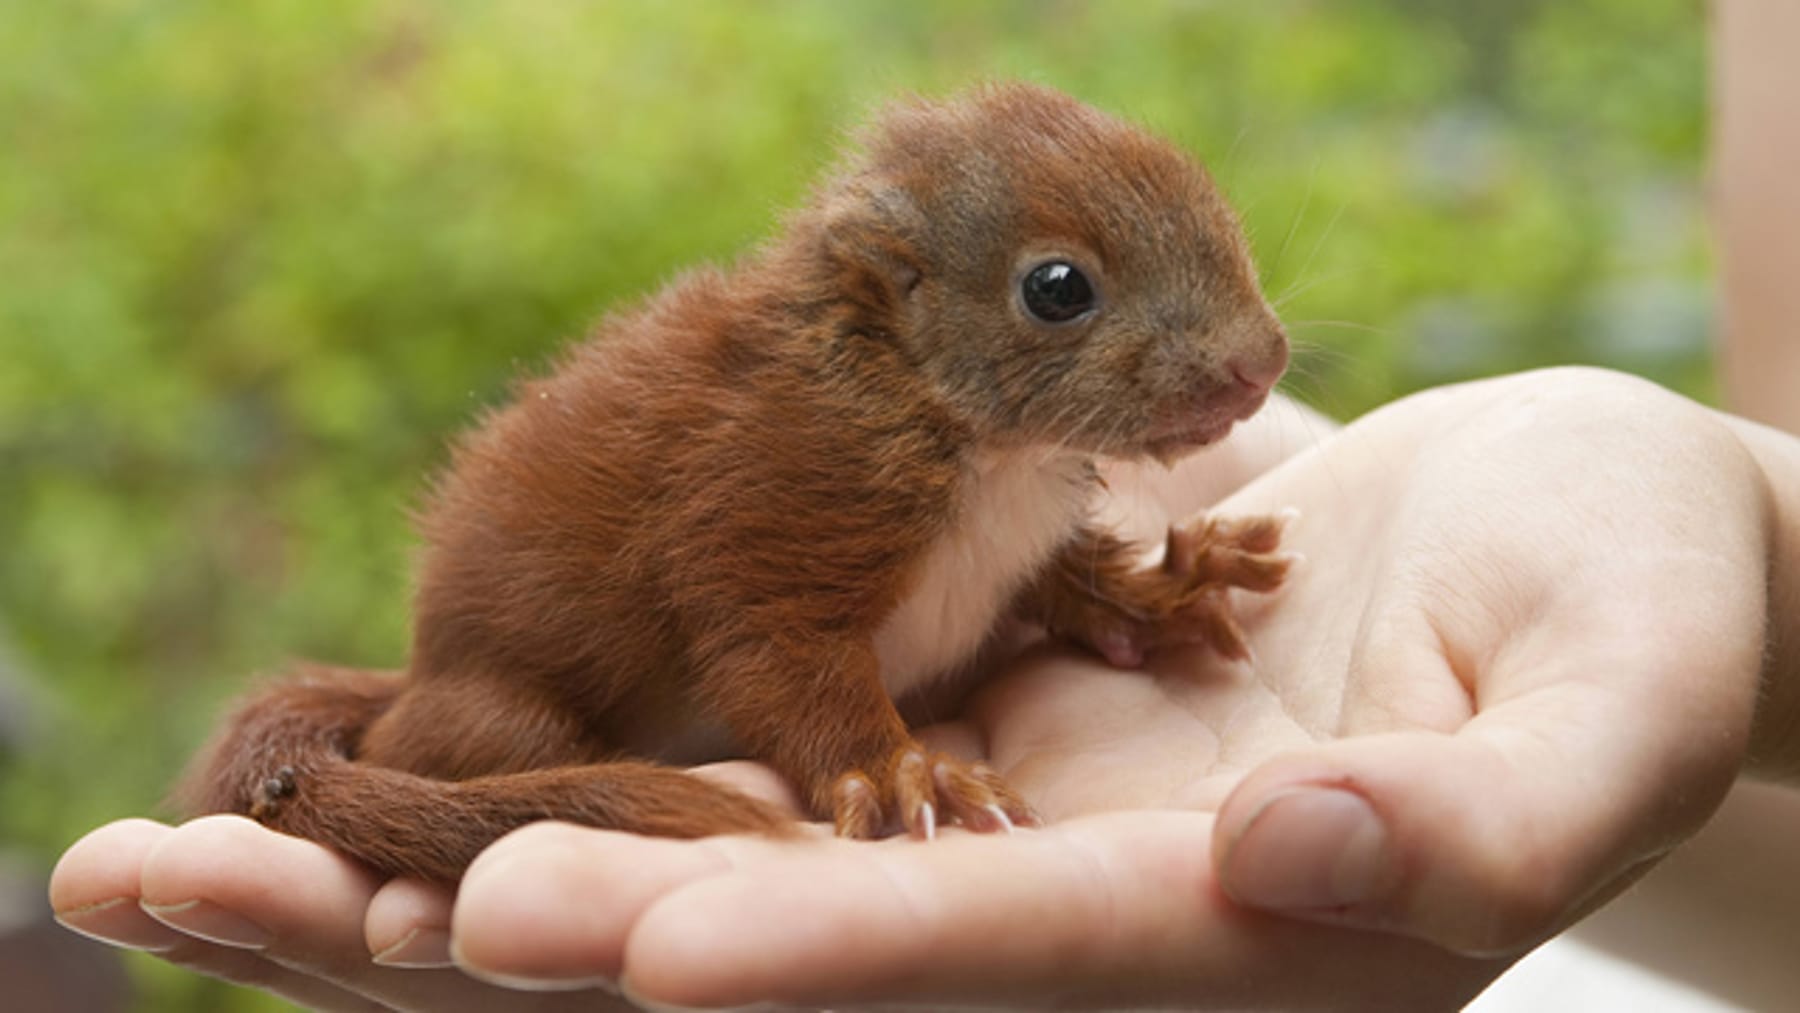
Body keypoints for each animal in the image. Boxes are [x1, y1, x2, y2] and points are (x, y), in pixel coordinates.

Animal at [179, 83, 1296, 885]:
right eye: (1056, 288)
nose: (1261, 362)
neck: (987, 450)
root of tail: (413, 677)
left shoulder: (1023, 533)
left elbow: (1065, 578)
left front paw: (1163, 591)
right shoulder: (769, 499)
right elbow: (779, 658)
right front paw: (903, 770)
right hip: (503, 715)